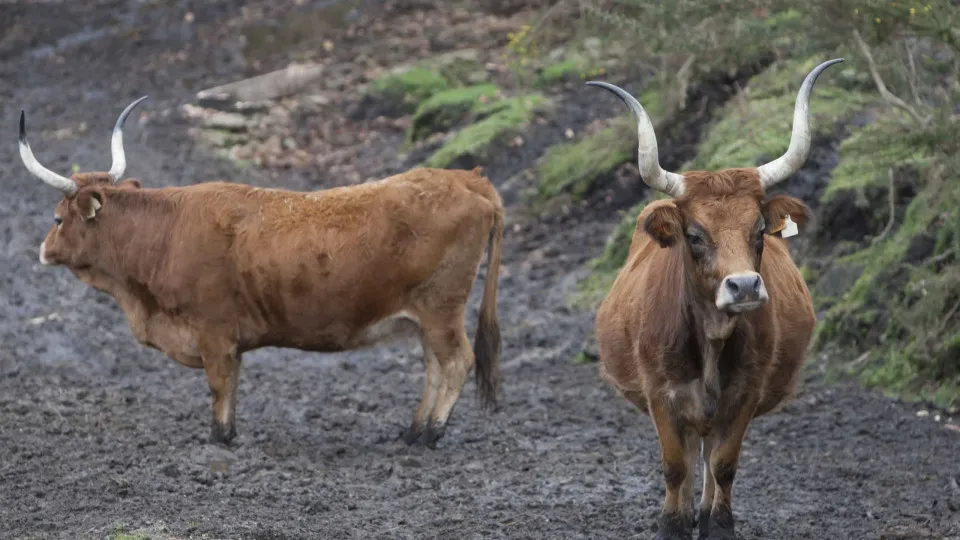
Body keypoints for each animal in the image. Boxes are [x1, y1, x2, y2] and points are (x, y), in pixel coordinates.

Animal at [18, 97, 506, 448]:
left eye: (57, 218)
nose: (42, 249)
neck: (166, 232)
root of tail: (469, 178)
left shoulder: (213, 332)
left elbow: (220, 387)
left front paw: (220, 440)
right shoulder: (228, 340)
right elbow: (232, 386)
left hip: (441, 309)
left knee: (457, 362)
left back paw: (430, 434)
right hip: (424, 317)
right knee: (434, 366)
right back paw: (413, 429)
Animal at [584, 57, 840, 536]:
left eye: (759, 231)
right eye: (695, 235)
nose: (744, 286)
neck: (711, 339)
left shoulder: (745, 396)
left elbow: (723, 466)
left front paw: (718, 523)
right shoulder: (660, 395)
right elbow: (674, 466)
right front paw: (672, 523)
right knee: (688, 457)